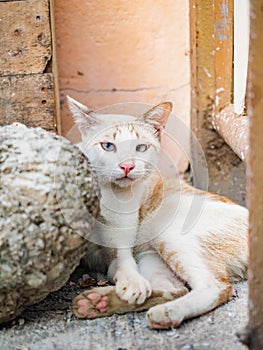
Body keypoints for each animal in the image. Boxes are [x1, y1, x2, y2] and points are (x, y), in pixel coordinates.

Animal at [67, 96, 249, 330]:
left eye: (140, 148)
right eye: (108, 146)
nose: (127, 166)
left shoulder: (121, 235)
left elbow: (123, 258)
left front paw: (130, 281)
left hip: (167, 232)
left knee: (215, 286)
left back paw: (166, 312)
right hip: (150, 257)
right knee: (174, 289)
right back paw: (97, 303)